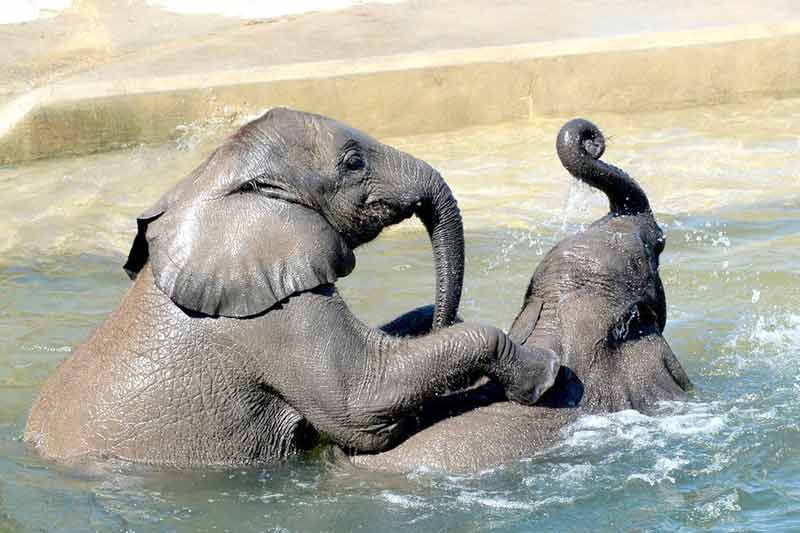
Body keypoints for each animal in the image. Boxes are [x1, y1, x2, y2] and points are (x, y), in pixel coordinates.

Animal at [24, 108, 558, 468]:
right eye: (352, 163)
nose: (447, 314)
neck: (210, 177)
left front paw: (432, 322)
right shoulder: (269, 315)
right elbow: (361, 405)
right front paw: (546, 375)